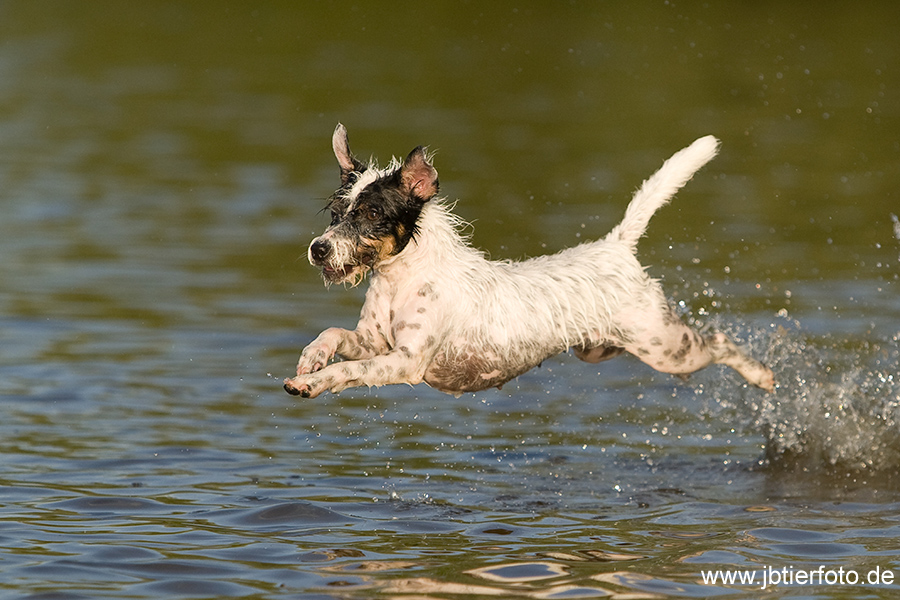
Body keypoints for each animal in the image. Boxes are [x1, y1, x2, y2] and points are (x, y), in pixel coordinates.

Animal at [284, 125, 776, 398]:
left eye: (371, 214)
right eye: (334, 212)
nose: (318, 248)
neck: (400, 281)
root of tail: (616, 246)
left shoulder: (405, 361)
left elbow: (351, 371)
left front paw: (314, 382)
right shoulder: (374, 341)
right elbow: (334, 336)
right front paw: (311, 360)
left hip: (668, 348)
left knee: (720, 341)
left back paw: (762, 375)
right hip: (603, 349)